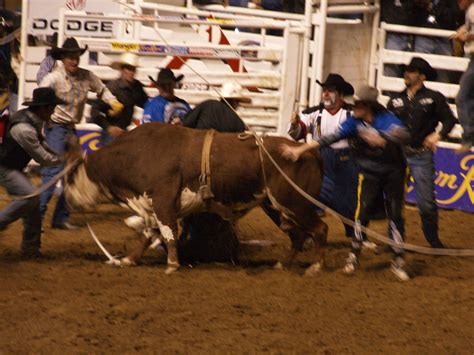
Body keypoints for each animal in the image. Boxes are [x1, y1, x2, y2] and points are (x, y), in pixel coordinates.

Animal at [65, 123, 328, 276]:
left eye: (69, 177)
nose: (66, 198)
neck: (138, 152)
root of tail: (307, 151)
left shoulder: (163, 201)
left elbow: (168, 233)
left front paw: (172, 265)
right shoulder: (150, 206)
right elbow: (149, 234)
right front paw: (129, 259)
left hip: (296, 203)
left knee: (319, 229)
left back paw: (315, 267)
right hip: (275, 206)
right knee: (297, 235)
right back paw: (282, 265)